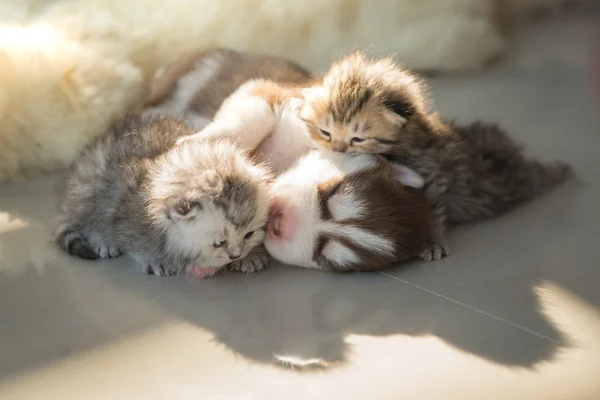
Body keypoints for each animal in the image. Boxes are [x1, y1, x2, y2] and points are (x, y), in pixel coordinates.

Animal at [54, 114, 270, 276]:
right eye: (219, 243)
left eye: (249, 234)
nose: (236, 255)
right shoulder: (125, 209)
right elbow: (135, 239)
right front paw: (157, 258)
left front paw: (252, 255)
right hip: (90, 184)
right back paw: (103, 241)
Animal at [302, 51, 576, 260]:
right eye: (325, 133)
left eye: (357, 139)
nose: (337, 149)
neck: (405, 140)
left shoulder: (432, 173)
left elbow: (433, 211)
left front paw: (432, 242)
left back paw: (561, 171)